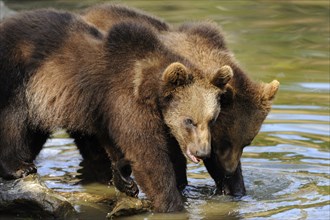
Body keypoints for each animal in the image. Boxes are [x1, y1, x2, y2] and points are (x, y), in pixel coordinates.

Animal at [0, 8, 233, 211]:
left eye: (212, 119)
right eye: (189, 120)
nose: (202, 151)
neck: (148, 89)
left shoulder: (107, 109)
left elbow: (114, 142)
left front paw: (124, 179)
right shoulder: (125, 99)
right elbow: (147, 154)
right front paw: (171, 203)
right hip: (19, 76)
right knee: (14, 118)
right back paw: (19, 166)